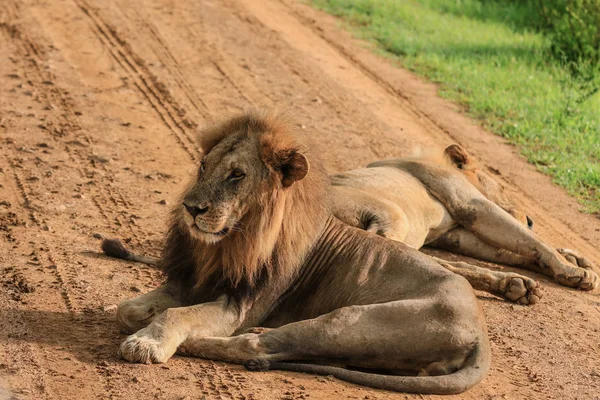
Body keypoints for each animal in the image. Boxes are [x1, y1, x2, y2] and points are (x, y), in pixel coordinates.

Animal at [112, 111, 492, 396]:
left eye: (237, 175)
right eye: (203, 166)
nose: (191, 208)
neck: (228, 244)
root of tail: (480, 330)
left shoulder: (241, 306)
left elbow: (176, 314)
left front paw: (148, 342)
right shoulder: (193, 282)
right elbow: (127, 309)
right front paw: (140, 318)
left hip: (346, 321)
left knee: (253, 346)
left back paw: (207, 341)